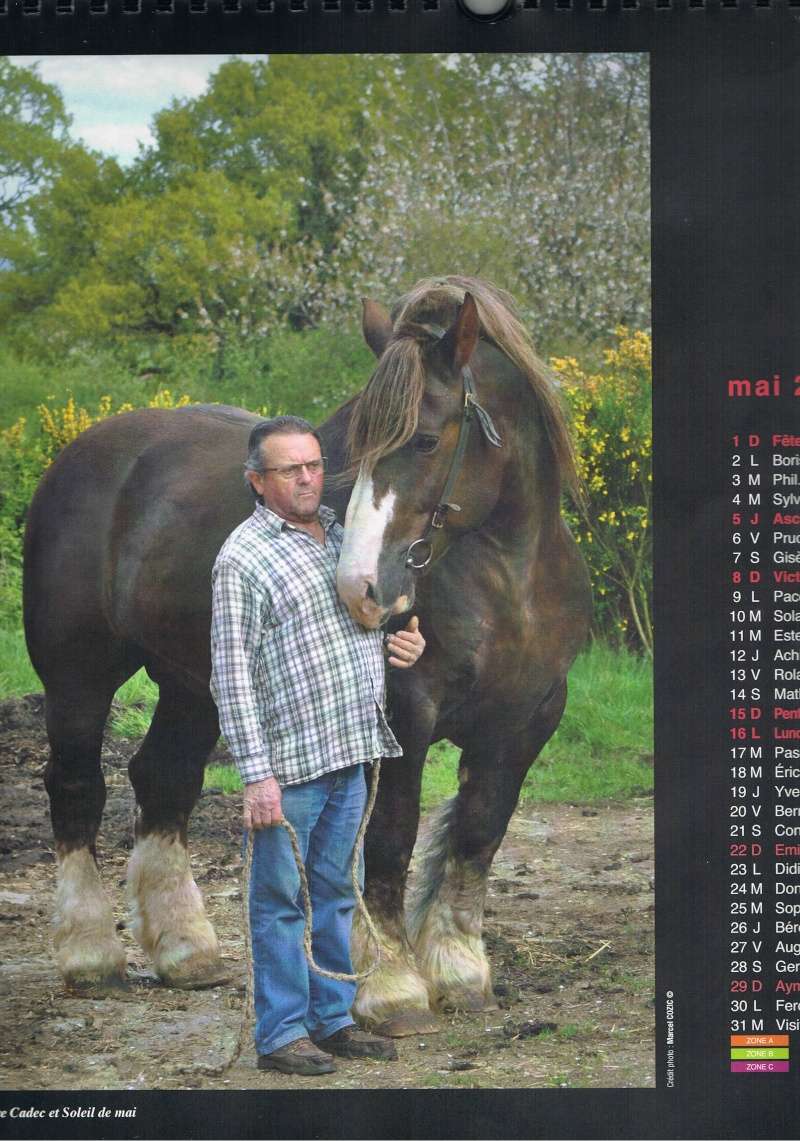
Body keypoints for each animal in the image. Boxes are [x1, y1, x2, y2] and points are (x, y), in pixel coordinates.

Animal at [24, 271, 588, 1031]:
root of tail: (83, 456)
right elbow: (389, 839)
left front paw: (460, 971)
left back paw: (184, 950)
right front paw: (394, 985)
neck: (509, 578)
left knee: (163, 779)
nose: (363, 587)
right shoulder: (401, 716)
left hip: (195, 684)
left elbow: (478, 834)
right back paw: (90, 955)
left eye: (427, 440)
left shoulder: (525, 722)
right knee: (78, 787)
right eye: (357, 444)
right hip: (78, 676)